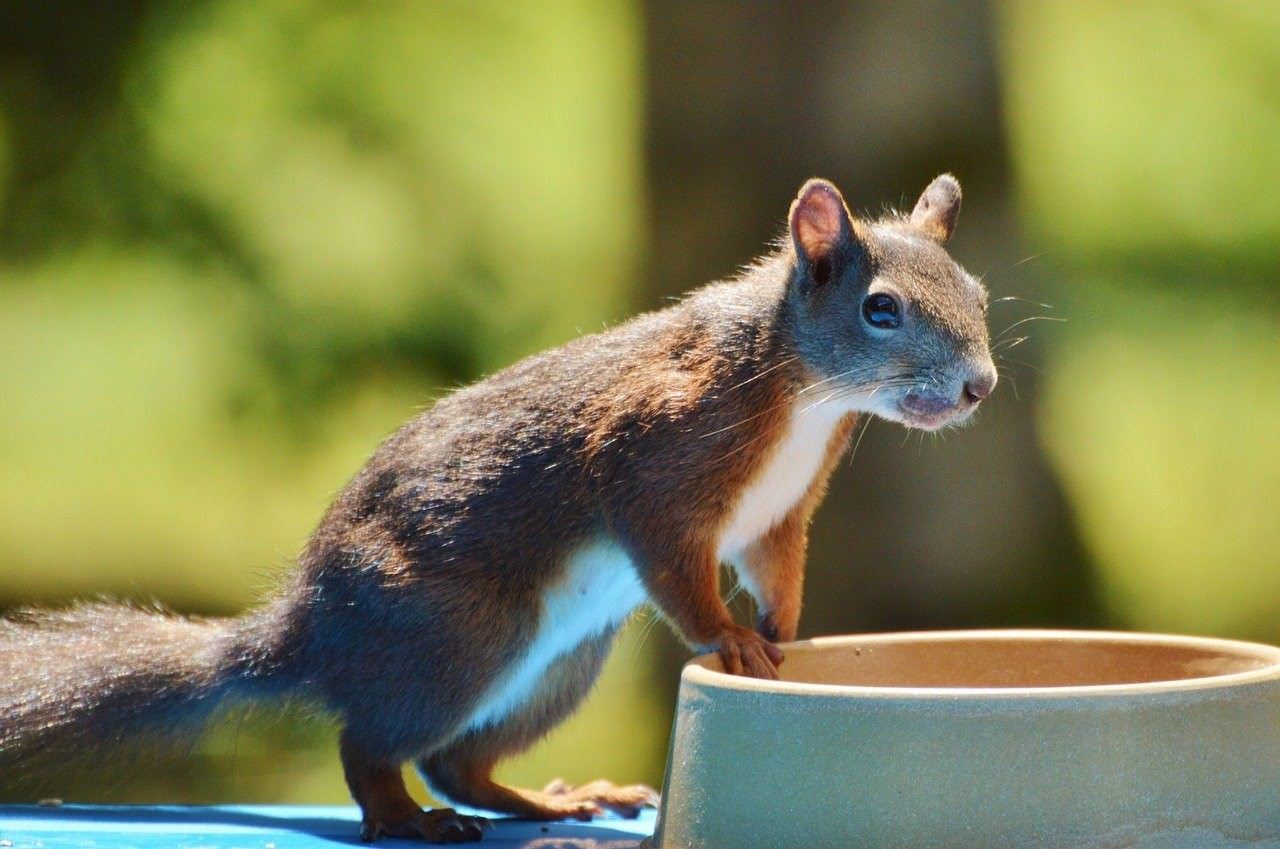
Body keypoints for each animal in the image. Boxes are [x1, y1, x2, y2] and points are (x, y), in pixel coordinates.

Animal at [0, 174, 993, 845]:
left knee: (460, 762)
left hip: (558, 666)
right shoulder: (654, 461)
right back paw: (408, 818)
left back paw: (552, 800)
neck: (807, 393)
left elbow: (775, 567)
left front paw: (785, 629)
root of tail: (309, 632)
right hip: (462, 634)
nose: (979, 385)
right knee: (372, 746)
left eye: (979, 295)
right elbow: (675, 566)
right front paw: (732, 638)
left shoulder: (777, 514)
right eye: (880, 309)